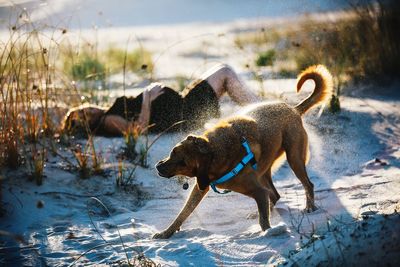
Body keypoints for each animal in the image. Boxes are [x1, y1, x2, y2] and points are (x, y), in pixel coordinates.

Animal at [155, 64, 332, 239]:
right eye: (172, 152)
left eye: (183, 163)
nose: (158, 166)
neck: (214, 152)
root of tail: (293, 109)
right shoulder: (200, 187)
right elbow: (184, 213)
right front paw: (167, 232)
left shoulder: (257, 191)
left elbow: (263, 220)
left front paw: (268, 231)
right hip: (264, 170)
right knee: (275, 195)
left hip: (294, 158)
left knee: (306, 184)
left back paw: (309, 206)